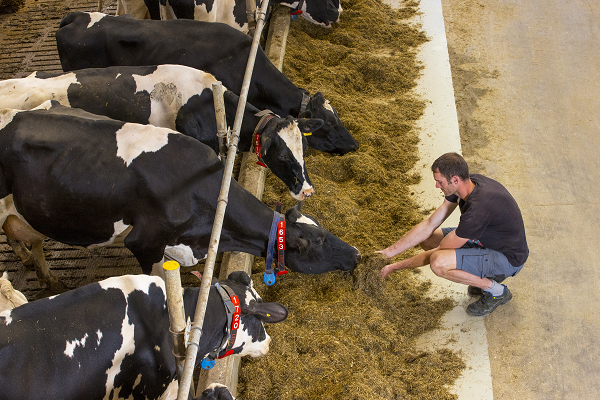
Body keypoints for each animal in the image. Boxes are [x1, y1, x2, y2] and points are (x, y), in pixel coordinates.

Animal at [0, 101, 360, 292]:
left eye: (323, 228)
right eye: (317, 241)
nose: (356, 253)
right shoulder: (144, 243)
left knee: (31, 239)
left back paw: (47, 277)